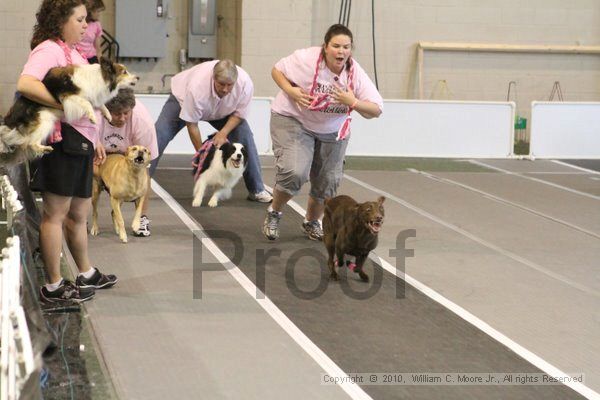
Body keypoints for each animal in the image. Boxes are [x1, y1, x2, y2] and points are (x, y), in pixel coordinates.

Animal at [0, 57, 138, 164]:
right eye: (124, 72)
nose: (138, 77)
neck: (101, 78)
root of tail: (10, 121)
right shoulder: (68, 97)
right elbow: (86, 102)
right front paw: (92, 117)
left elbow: (100, 104)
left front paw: (107, 115)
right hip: (45, 120)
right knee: (31, 143)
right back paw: (44, 149)